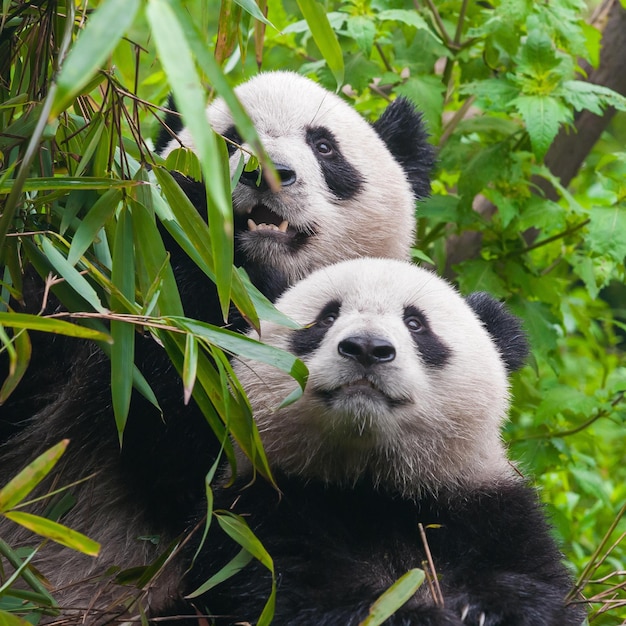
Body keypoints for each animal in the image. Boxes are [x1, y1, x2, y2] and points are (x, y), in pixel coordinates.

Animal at [172, 255, 584, 624]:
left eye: (416, 323)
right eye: (326, 317)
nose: (367, 348)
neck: (375, 483)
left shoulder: (489, 511)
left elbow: (541, 587)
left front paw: (487, 610)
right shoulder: (256, 513)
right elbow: (291, 594)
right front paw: (417, 616)